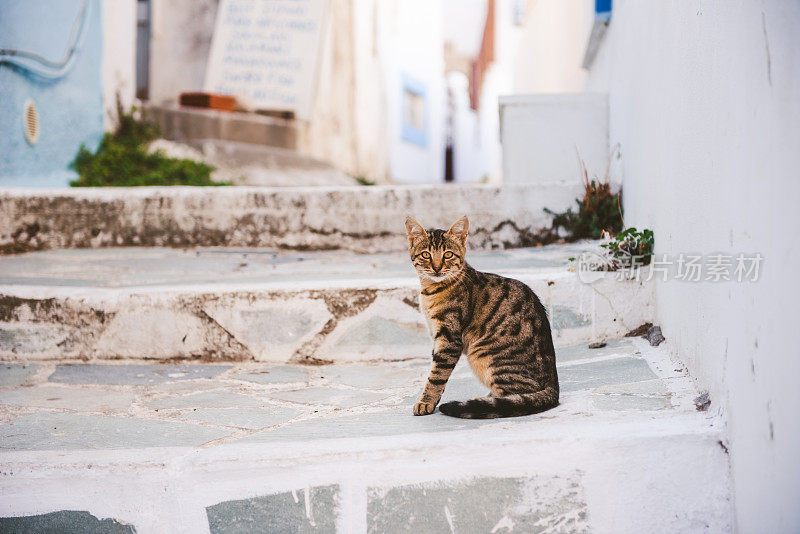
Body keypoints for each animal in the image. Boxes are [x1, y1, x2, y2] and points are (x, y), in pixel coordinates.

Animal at [406, 217, 556, 418]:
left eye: (448, 254)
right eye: (426, 255)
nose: (437, 268)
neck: (431, 291)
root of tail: (554, 385)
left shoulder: (449, 339)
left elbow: (436, 375)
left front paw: (426, 401)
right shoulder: (438, 338)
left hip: (485, 355)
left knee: (517, 396)